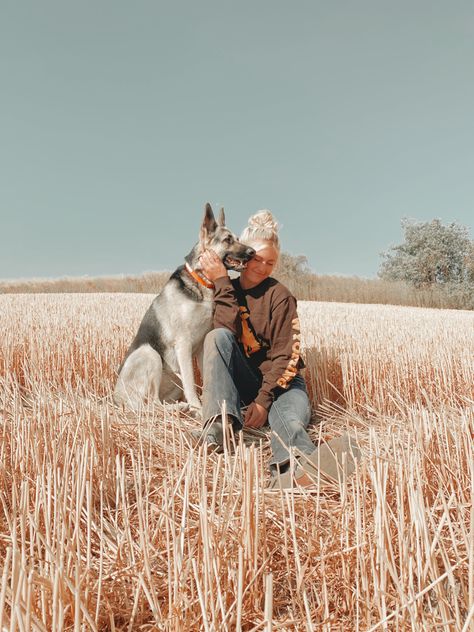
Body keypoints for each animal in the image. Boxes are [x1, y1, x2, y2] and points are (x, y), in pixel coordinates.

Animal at [113, 202, 256, 410]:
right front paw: (197, 407)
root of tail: (116, 398)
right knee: (152, 404)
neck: (202, 282)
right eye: (228, 240)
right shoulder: (184, 344)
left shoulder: (203, 344)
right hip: (150, 353)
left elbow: (206, 376)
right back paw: (179, 408)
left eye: (237, 239)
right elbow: (191, 382)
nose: (253, 252)